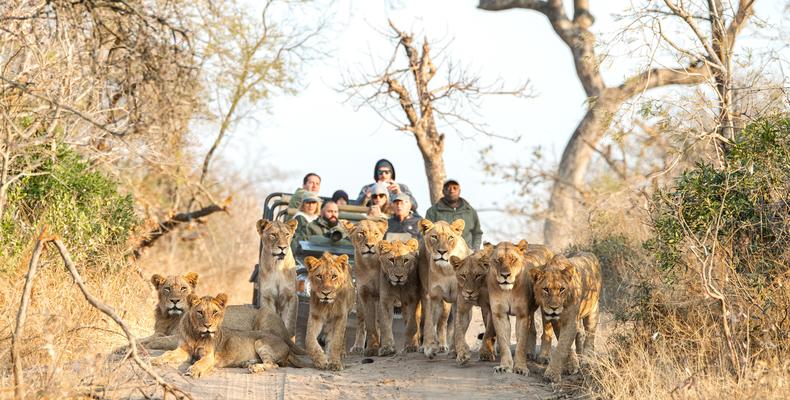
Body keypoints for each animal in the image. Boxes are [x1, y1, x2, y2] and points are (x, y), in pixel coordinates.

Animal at [151, 293, 310, 378]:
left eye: (215, 312)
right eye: (200, 312)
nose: (208, 326)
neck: (197, 335)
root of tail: (285, 343)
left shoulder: (209, 356)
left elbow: (200, 363)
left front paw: (194, 371)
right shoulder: (184, 350)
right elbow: (168, 354)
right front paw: (155, 360)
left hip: (260, 342)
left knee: (274, 364)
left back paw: (255, 368)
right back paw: (248, 363)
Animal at [341, 219, 387, 356]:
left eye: (376, 234)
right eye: (361, 233)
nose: (370, 245)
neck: (369, 266)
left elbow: (382, 322)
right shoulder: (364, 294)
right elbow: (370, 324)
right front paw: (372, 347)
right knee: (361, 323)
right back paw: (358, 346)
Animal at [418, 218, 472, 359]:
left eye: (450, 237)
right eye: (434, 237)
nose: (442, 252)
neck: (447, 270)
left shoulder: (460, 298)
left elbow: (458, 327)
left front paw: (459, 351)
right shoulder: (434, 297)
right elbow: (430, 323)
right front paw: (429, 348)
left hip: (448, 304)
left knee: (443, 323)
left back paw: (446, 346)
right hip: (427, 296)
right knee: (428, 321)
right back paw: (426, 346)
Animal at [487, 240, 554, 375]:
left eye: (513, 259)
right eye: (498, 260)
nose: (505, 275)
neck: (508, 291)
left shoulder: (522, 314)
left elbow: (521, 342)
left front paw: (520, 368)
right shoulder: (499, 314)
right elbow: (503, 342)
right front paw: (504, 366)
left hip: (546, 307)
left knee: (547, 333)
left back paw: (543, 357)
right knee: (532, 330)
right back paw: (530, 353)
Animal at [529, 252, 601, 383]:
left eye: (562, 289)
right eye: (545, 289)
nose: (554, 308)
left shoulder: (570, 320)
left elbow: (562, 347)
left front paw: (552, 374)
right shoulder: (557, 321)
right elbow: (564, 344)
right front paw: (572, 365)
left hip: (593, 309)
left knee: (590, 335)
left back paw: (587, 360)